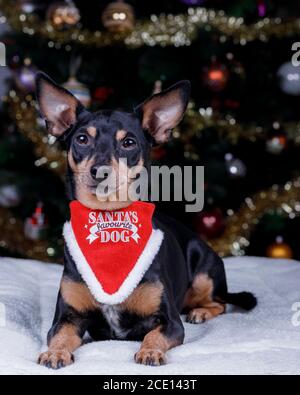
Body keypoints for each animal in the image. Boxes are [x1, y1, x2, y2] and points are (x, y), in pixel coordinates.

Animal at [34, 72, 255, 372]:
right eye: (81, 139)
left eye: (128, 143)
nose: (100, 171)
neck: (110, 218)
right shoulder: (66, 318)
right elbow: (60, 336)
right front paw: (55, 352)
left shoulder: (170, 322)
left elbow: (153, 335)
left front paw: (150, 351)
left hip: (204, 273)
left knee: (220, 303)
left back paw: (200, 311)